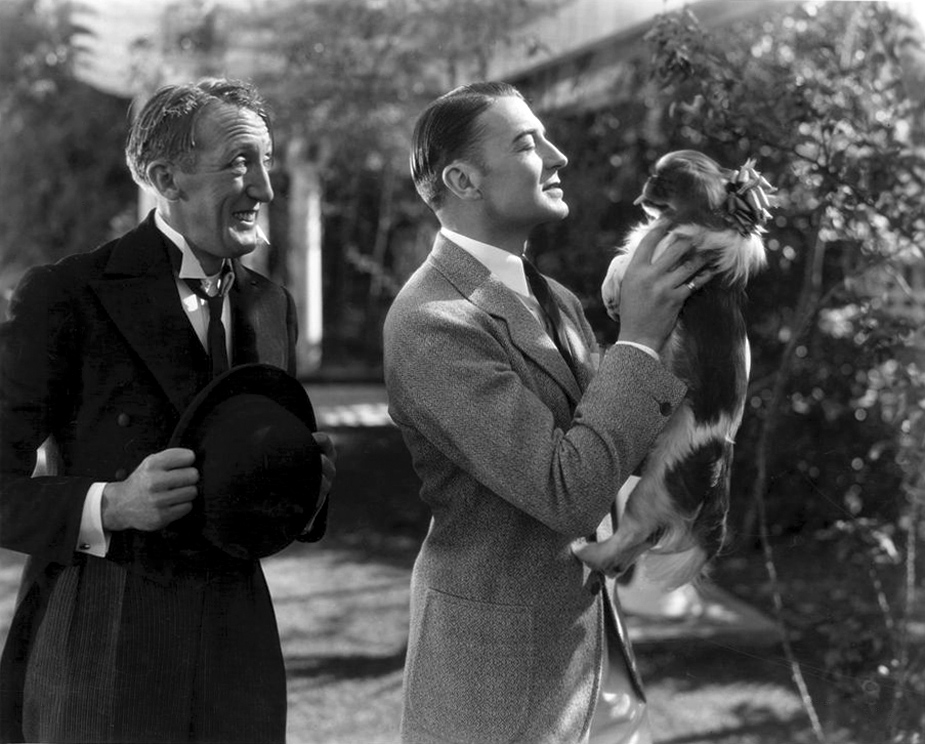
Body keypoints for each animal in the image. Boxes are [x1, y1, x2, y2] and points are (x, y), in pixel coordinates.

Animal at [573, 150, 774, 590]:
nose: (648, 180)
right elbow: (623, 258)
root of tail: (722, 459)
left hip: (658, 482)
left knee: (637, 530)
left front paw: (616, 289)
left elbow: (629, 260)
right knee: (638, 543)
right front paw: (610, 289)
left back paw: (590, 552)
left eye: (665, 180)